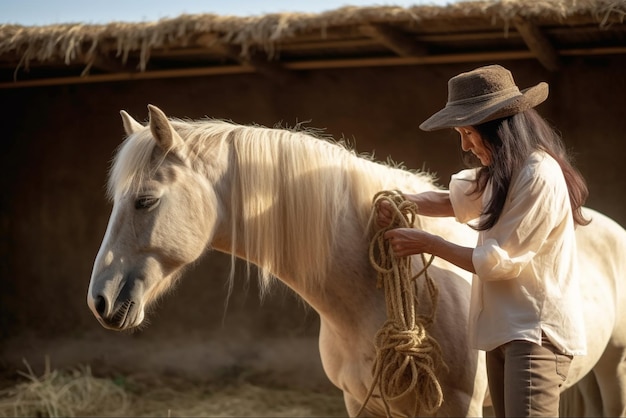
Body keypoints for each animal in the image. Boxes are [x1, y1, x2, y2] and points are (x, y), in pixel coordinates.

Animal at [86, 105, 624, 418]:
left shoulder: (457, 407)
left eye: (145, 200)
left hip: (615, 367)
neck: (365, 299)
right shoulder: (361, 403)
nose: (101, 301)